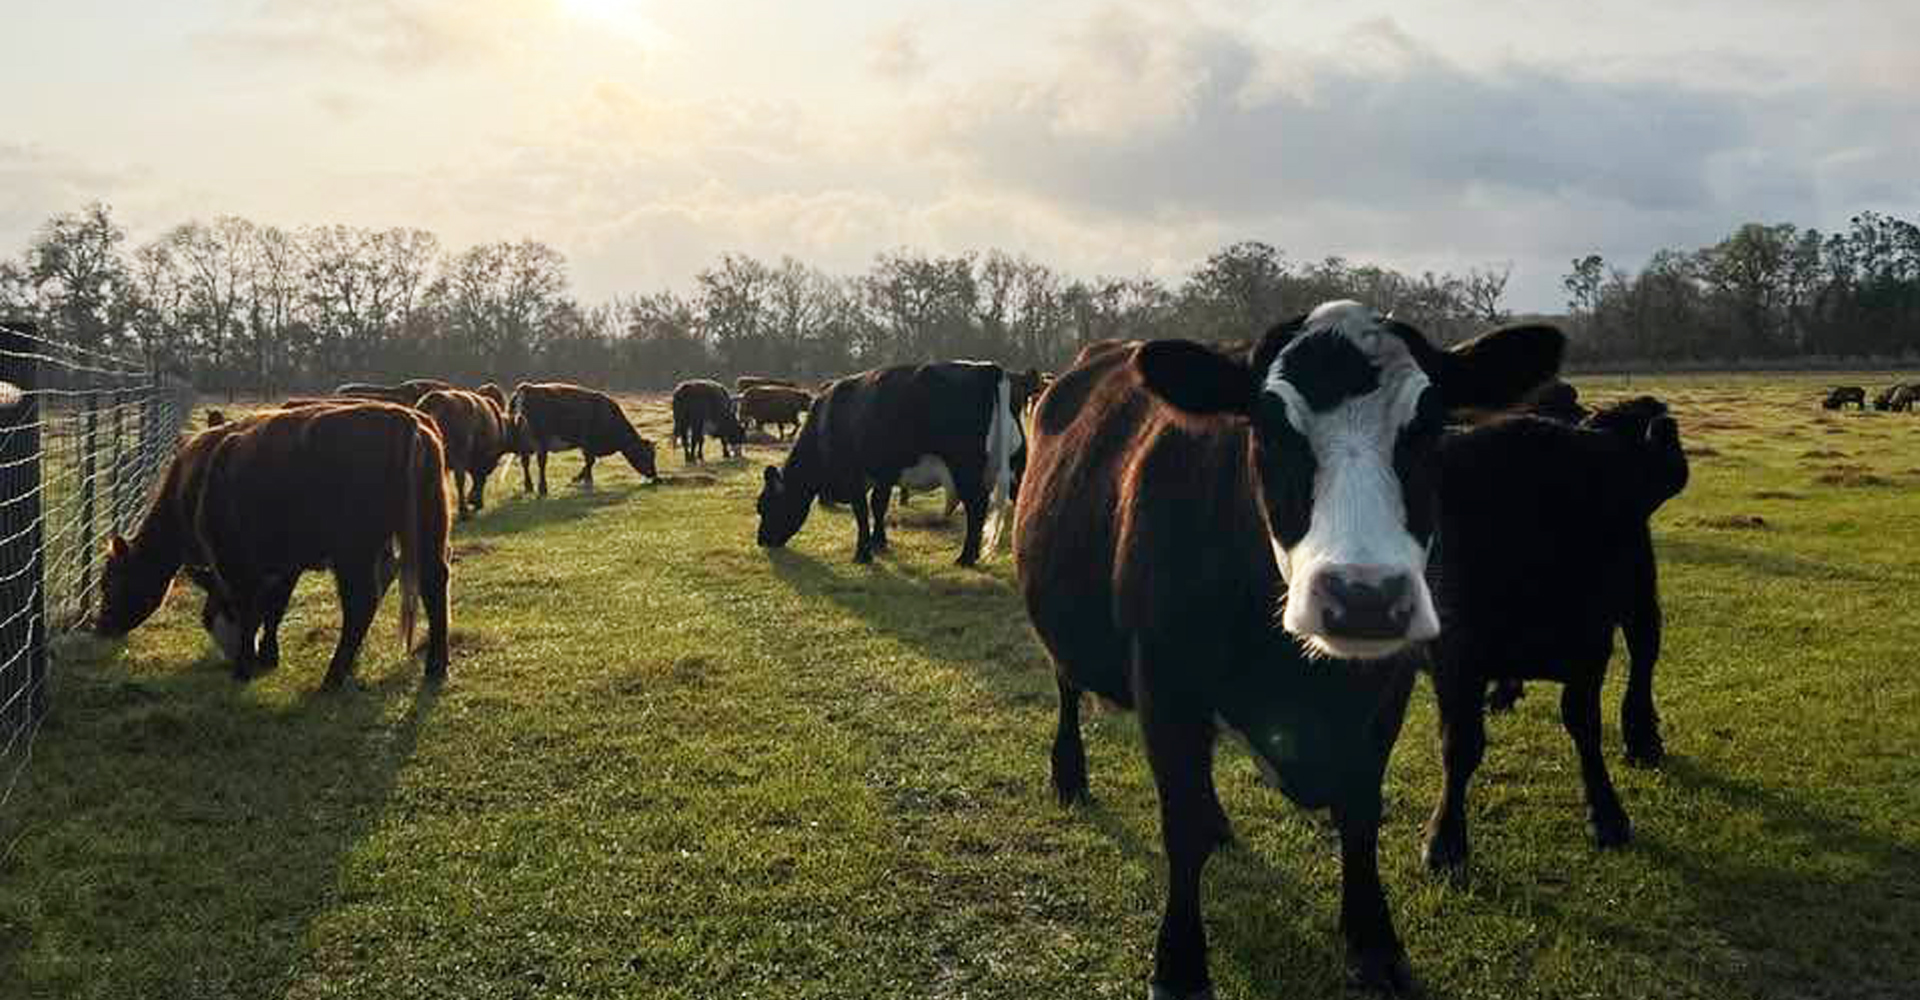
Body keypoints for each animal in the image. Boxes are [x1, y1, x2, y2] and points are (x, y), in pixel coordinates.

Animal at [95, 401, 453, 688]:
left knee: (361, 601)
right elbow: (275, 607)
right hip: (427, 532)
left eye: (110, 584)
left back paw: (333, 676)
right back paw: (435, 665)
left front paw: (244, 666)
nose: (101, 627)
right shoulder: (285, 566)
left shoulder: (237, 562)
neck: (192, 486)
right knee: (434, 583)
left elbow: (250, 608)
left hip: (354, 551)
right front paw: (267, 654)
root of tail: (403, 419)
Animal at [508, 382, 659, 495]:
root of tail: (527, 387)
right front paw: (583, 480)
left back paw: (529, 487)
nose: (654, 475)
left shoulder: (587, 445)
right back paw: (542, 489)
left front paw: (583, 479)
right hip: (541, 441)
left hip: (523, 444)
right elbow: (590, 461)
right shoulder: (588, 443)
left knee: (525, 463)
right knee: (541, 462)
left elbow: (589, 462)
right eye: (646, 454)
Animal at [756, 361, 1023, 566]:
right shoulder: (883, 473)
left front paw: (862, 553)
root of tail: (986, 368)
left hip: (964, 468)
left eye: (765, 505)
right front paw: (879, 542)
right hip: (1016, 465)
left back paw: (965, 558)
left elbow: (862, 511)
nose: (761, 540)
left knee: (976, 506)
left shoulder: (854, 475)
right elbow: (878, 505)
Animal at [1015, 301, 1564, 997]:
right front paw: (1180, 964)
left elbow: (1359, 813)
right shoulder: (1164, 680)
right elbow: (1180, 825)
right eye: (1272, 430)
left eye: (1428, 429)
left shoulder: (1387, 688)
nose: (1363, 595)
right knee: (1065, 684)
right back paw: (1069, 774)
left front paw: (1374, 941)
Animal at [1422, 397, 1687, 873]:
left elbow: (1585, 725)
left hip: (1640, 599)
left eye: (1597, 516)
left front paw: (1607, 814)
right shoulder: (1453, 654)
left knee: (1643, 661)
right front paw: (1445, 838)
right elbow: (1460, 742)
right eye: (1456, 517)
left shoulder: (1591, 648)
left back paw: (1642, 738)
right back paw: (1504, 692)